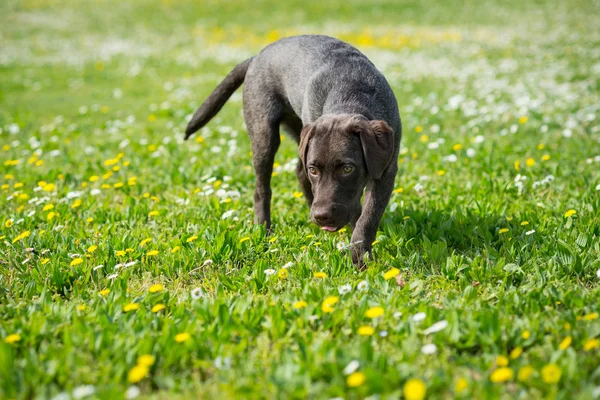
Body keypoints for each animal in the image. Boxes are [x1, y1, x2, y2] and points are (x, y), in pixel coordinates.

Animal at [183, 34, 398, 266]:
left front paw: (360, 255)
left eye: (348, 169)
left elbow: (368, 216)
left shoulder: (386, 170)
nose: (321, 216)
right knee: (262, 188)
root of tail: (256, 57)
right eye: (315, 170)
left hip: (300, 133)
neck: (350, 95)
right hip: (264, 135)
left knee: (298, 172)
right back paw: (264, 231)